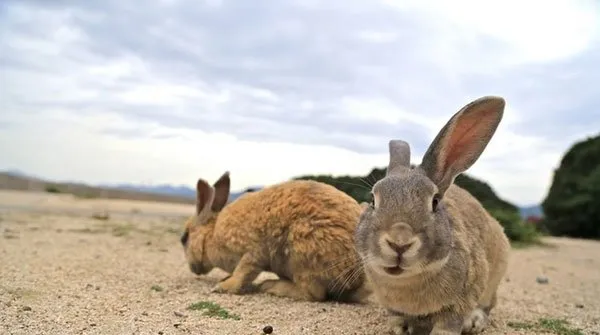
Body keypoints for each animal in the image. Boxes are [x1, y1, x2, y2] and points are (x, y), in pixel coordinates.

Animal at [180, 173, 372, 304]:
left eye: (184, 238)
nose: (193, 269)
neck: (212, 234)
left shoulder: (253, 254)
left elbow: (243, 273)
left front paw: (222, 287)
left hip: (302, 252)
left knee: (313, 293)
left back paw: (269, 286)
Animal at [354, 96, 512, 334]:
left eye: (435, 202)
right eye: (373, 200)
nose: (400, 242)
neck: (407, 281)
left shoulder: (462, 298)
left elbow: (448, 324)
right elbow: (397, 318)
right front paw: (400, 329)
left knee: (488, 304)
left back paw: (474, 321)